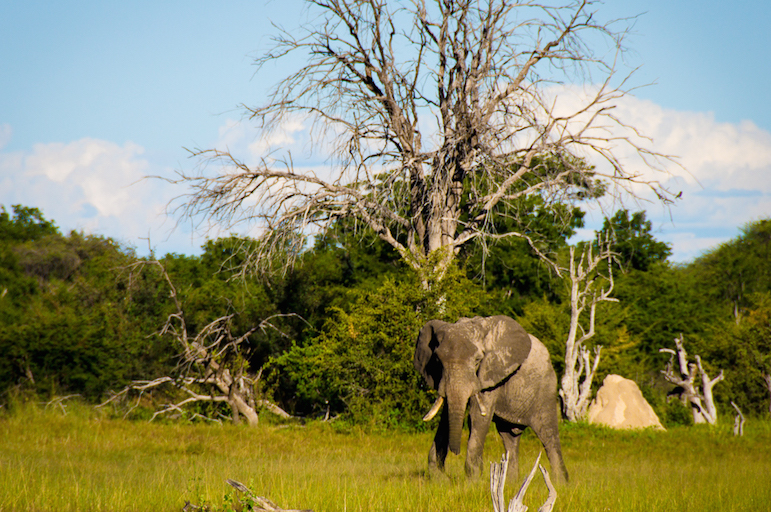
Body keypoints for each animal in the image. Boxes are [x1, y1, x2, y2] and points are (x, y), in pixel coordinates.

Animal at [416, 312, 568, 484]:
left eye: (477, 360)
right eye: (437, 361)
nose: (456, 452)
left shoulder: (491, 373)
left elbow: (477, 417)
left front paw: (472, 481)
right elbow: (446, 417)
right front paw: (439, 479)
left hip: (545, 388)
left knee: (548, 434)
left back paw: (561, 484)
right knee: (510, 438)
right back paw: (511, 483)